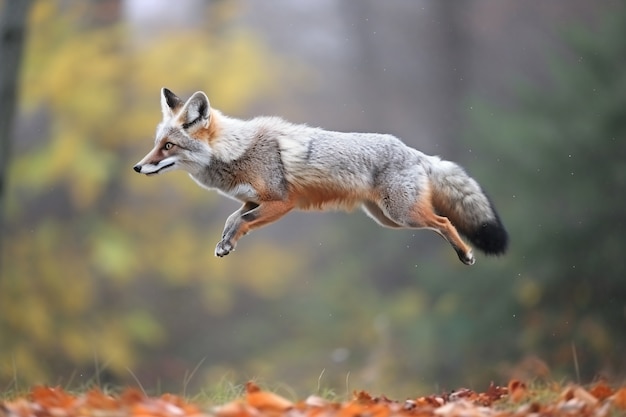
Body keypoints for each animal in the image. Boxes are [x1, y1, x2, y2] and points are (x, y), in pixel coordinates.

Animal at [133, 88, 508, 264]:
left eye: (168, 146)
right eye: (156, 144)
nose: (137, 167)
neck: (237, 152)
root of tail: (414, 151)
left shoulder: (282, 203)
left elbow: (241, 221)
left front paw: (227, 244)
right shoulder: (253, 201)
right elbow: (231, 219)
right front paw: (225, 244)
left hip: (403, 214)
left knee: (445, 222)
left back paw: (466, 255)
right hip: (390, 220)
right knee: (442, 223)